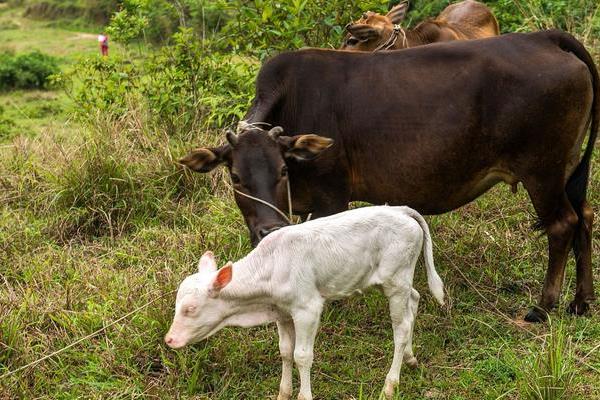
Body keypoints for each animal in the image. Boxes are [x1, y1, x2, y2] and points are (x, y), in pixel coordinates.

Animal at [164, 206, 446, 400]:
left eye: (190, 308)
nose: (169, 339)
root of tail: (400, 210)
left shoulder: (307, 308)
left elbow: (302, 355)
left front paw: (304, 395)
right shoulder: (281, 312)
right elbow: (285, 351)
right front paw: (283, 393)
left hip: (396, 278)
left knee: (401, 327)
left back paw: (390, 384)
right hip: (394, 280)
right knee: (414, 300)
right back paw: (410, 358)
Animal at [180, 32, 596, 324]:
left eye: (283, 170)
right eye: (236, 177)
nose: (268, 229)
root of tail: (543, 37)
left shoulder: (331, 196)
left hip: (541, 169)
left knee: (563, 223)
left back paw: (543, 306)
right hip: (567, 167)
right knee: (585, 217)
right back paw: (582, 301)